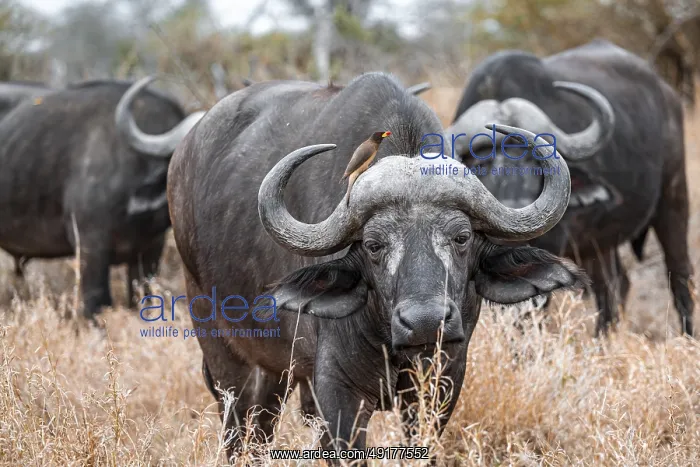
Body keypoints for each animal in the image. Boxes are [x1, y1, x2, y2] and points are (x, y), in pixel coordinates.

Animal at [164, 72, 587, 458]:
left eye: (462, 237)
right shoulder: (337, 393)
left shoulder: (442, 382)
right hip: (224, 356)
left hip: (275, 372)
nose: (425, 322)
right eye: (373, 245)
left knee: (262, 428)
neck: (391, 340)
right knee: (239, 429)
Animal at [447, 39, 694, 336]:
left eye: (536, 164)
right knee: (615, 284)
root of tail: (667, 95)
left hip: (673, 198)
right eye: (482, 164)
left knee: (678, 273)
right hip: (599, 240)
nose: (517, 209)